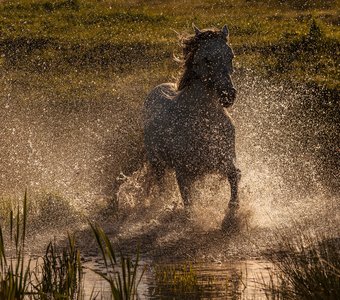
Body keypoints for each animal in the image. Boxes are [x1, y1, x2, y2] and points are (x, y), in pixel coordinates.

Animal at [143, 25, 242, 213]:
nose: (228, 95)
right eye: (206, 59)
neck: (204, 121)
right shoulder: (183, 172)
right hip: (157, 162)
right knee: (161, 185)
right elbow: (189, 204)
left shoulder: (223, 159)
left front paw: (233, 209)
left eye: (230, 55)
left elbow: (234, 175)